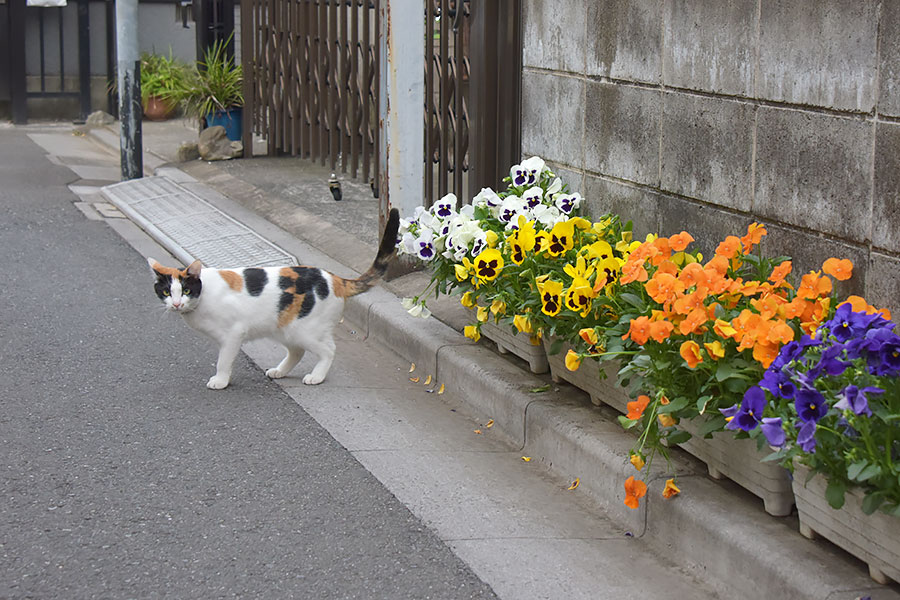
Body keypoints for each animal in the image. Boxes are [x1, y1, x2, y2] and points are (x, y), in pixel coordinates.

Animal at [148, 210, 398, 390]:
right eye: (167, 292)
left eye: (186, 290)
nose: (177, 304)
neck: (204, 297)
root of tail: (335, 279)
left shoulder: (233, 334)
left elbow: (223, 361)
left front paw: (220, 381)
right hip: (284, 328)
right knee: (297, 352)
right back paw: (280, 371)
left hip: (305, 330)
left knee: (329, 349)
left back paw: (316, 376)